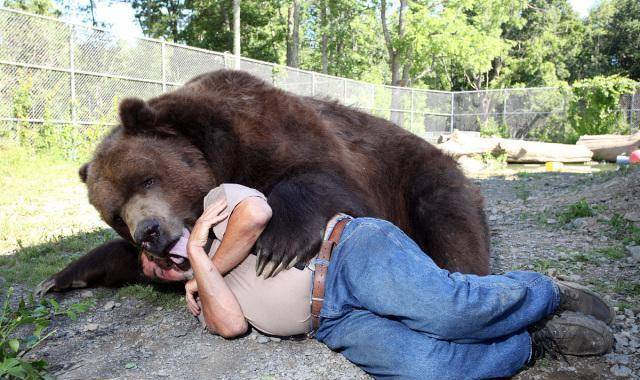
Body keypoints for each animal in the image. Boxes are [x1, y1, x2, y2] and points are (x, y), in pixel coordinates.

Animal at [36, 69, 490, 294]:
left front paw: (277, 246)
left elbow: (324, 179)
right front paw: (59, 277)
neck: (218, 157)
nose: (149, 233)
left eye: (146, 179)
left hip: (420, 173)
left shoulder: (276, 133)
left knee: (450, 220)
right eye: (114, 213)